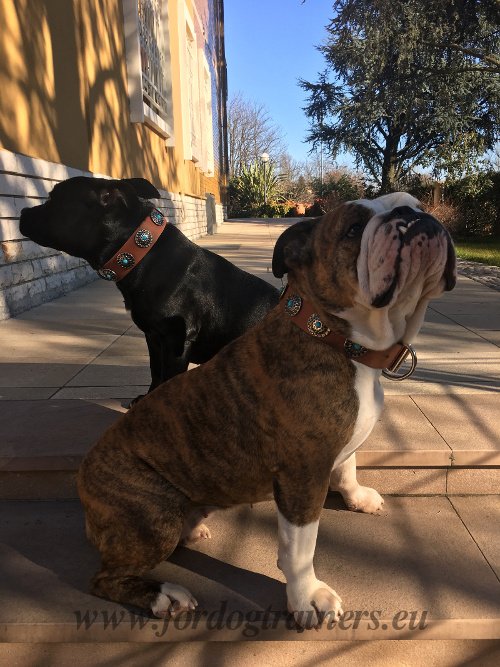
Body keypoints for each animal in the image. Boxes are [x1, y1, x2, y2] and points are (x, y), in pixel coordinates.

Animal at [20, 176, 278, 396]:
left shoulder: (176, 341)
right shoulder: (154, 337)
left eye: (54, 199)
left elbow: (168, 379)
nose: (22, 212)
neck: (141, 253)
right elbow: (156, 372)